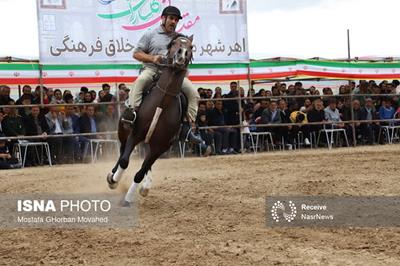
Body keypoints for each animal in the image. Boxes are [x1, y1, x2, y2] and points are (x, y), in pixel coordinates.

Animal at [106, 34, 194, 206]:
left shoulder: (161, 146)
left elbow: (140, 172)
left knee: (145, 164)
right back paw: (112, 176)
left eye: (191, 47)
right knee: (122, 153)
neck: (162, 103)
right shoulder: (136, 134)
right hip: (123, 132)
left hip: (150, 143)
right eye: (174, 43)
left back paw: (145, 186)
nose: (182, 54)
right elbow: (125, 161)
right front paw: (114, 180)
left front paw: (128, 199)